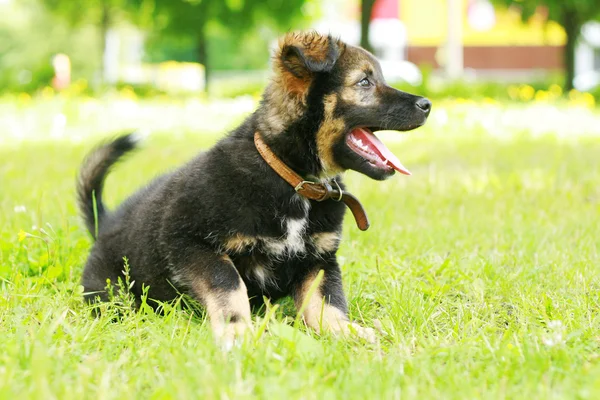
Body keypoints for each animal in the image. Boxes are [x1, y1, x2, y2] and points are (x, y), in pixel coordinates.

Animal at [77, 31, 428, 346]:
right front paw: (237, 331)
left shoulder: (320, 260)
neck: (293, 178)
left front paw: (345, 331)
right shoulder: (188, 240)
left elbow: (325, 303)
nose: (427, 104)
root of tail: (104, 223)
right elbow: (229, 284)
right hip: (111, 293)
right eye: (364, 82)